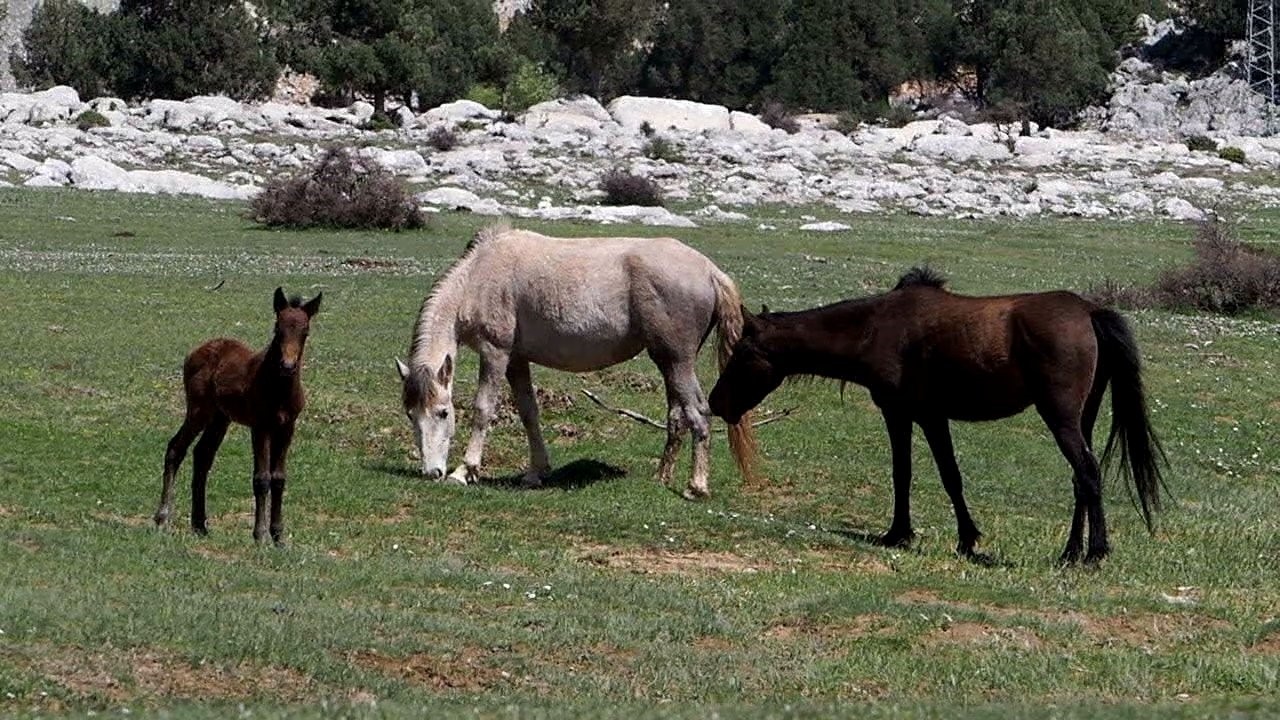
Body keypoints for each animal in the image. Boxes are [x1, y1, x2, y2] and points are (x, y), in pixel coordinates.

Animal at [153, 285, 320, 543]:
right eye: (277, 329)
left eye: (306, 332)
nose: (287, 366)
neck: (278, 388)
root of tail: (196, 351)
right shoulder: (260, 426)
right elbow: (261, 478)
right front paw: (260, 535)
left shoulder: (287, 427)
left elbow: (279, 478)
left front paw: (278, 535)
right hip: (199, 410)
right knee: (176, 448)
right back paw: (162, 518)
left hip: (220, 418)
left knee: (202, 455)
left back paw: (199, 524)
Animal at [394, 224, 752, 499]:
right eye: (411, 415)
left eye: (443, 412)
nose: (432, 472)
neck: (479, 276)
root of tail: (710, 271)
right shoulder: (517, 360)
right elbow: (529, 412)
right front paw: (536, 472)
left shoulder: (495, 353)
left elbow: (483, 410)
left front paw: (464, 471)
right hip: (668, 363)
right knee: (677, 415)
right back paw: (661, 478)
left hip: (678, 361)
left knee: (699, 414)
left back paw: (696, 486)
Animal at [711, 266, 1172, 563]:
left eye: (741, 353)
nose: (716, 403)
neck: (875, 328)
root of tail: (1089, 312)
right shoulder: (932, 418)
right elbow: (946, 475)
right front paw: (964, 539)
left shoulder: (906, 414)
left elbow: (912, 473)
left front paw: (900, 534)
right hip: (1083, 419)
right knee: (1081, 479)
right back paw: (1071, 551)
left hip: (1060, 419)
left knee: (1088, 474)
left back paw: (1094, 553)